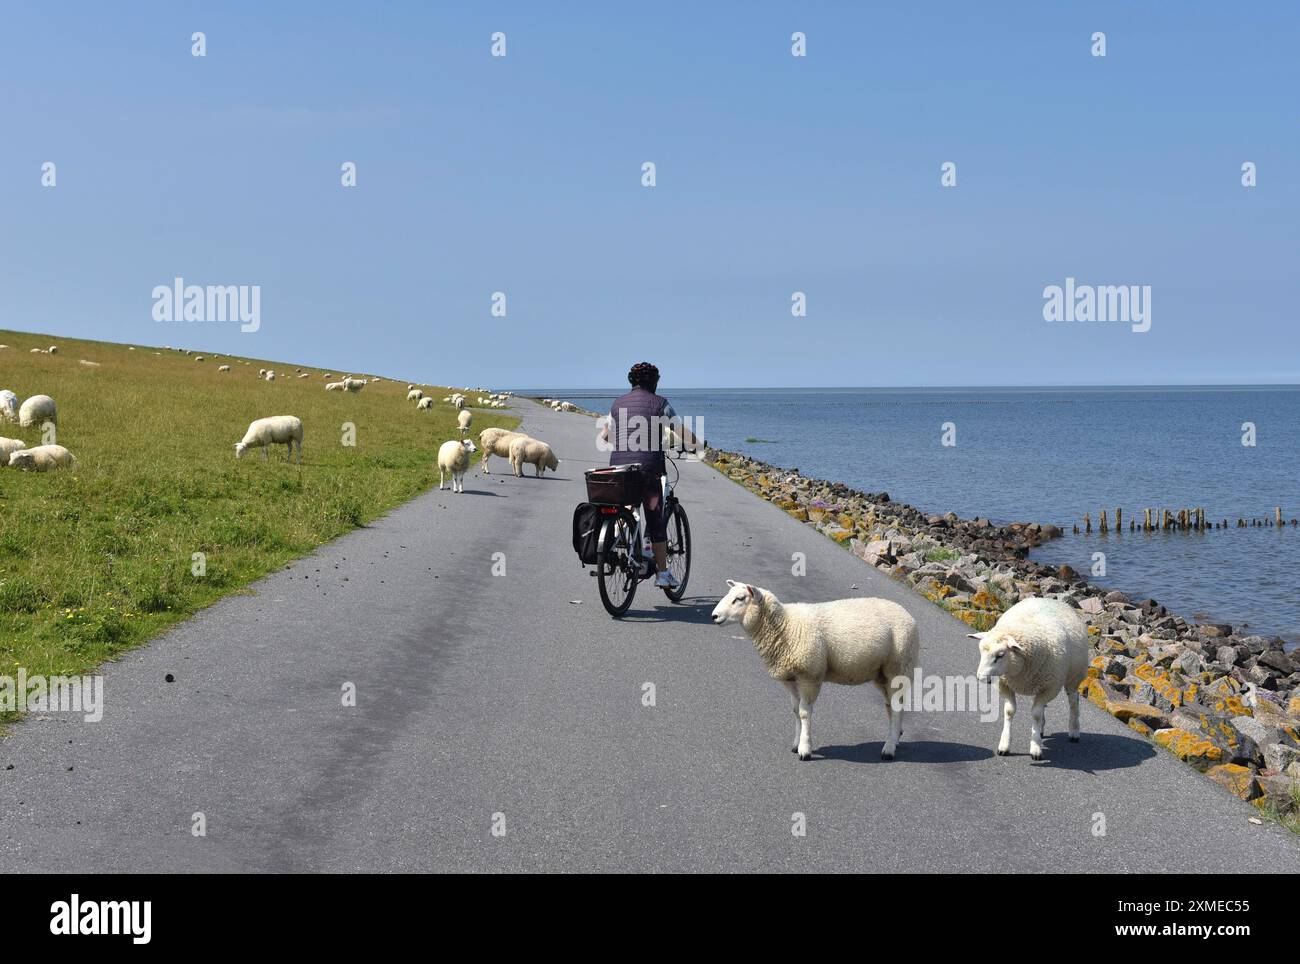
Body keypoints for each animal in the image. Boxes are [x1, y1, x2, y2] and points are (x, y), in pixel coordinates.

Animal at [711, 581, 920, 761]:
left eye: (740, 598)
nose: (714, 616)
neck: (785, 626)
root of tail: (908, 614)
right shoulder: (790, 679)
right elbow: (795, 711)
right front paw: (796, 744)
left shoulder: (810, 676)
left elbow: (804, 713)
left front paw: (805, 749)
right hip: (882, 673)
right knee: (892, 706)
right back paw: (896, 736)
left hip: (899, 666)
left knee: (896, 707)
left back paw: (889, 748)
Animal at [968, 597, 1089, 761]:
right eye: (981, 651)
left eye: (1000, 655)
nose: (980, 678)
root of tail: (1052, 600)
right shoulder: (1005, 683)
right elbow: (1010, 711)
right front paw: (1004, 745)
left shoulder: (1050, 688)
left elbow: (1036, 715)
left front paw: (1035, 748)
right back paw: (1042, 729)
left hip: (1073, 677)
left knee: (1073, 701)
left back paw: (1074, 731)